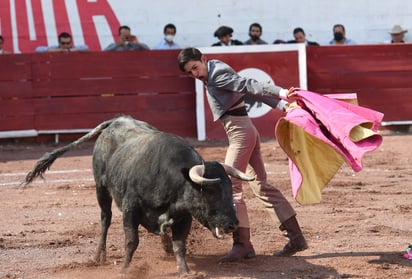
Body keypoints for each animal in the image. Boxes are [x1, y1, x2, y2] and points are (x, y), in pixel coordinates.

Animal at [25, 115, 254, 276]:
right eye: (211, 192)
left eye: (229, 190)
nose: (233, 224)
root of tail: (117, 120)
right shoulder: (130, 209)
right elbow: (131, 241)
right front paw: (124, 270)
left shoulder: (185, 216)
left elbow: (179, 244)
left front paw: (185, 271)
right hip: (101, 189)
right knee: (105, 219)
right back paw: (99, 255)